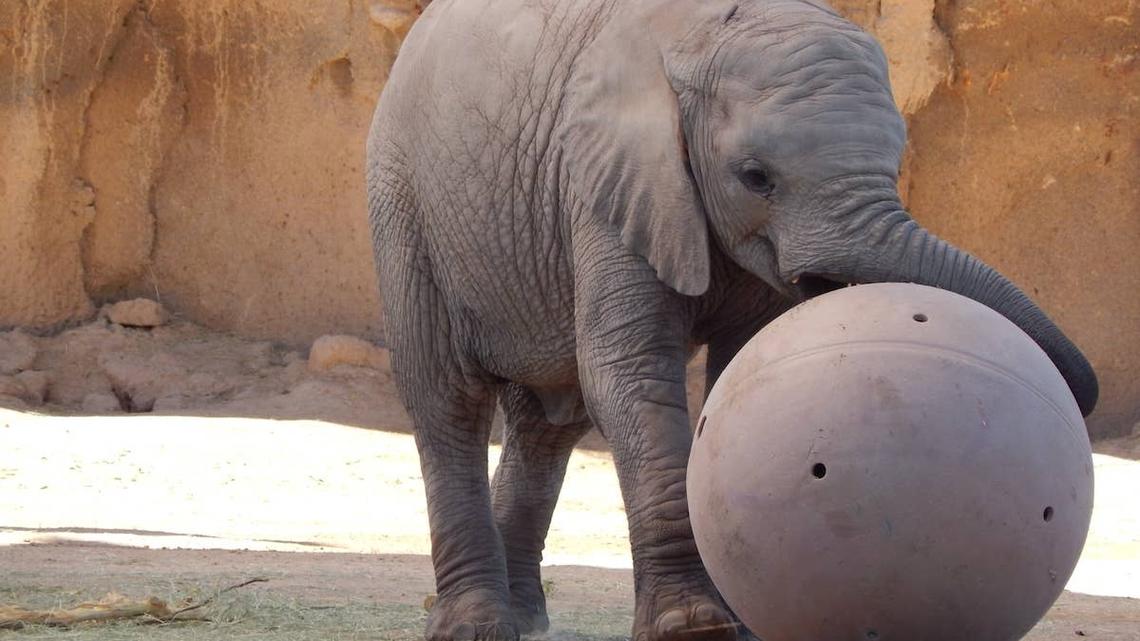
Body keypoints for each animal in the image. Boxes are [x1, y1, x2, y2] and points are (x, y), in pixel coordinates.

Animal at [364, 0, 1099, 639]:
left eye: (895, 166)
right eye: (755, 176)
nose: (1086, 393)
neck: (703, 37)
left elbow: (736, 373)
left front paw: (737, 619)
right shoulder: (609, 181)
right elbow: (631, 374)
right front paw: (694, 626)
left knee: (548, 422)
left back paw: (527, 620)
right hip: (403, 200)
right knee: (449, 400)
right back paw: (476, 625)